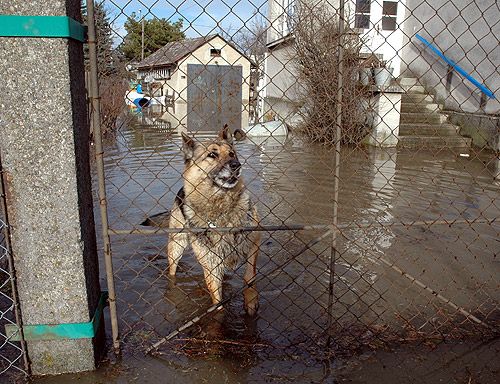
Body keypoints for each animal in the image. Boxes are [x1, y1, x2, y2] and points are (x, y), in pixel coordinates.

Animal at [169, 126, 262, 316]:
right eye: (212, 155)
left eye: (232, 154)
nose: (236, 165)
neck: (221, 206)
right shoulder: (211, 265)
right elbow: (218, 302)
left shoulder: (254, 241)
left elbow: (249, 275)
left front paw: (250, 301)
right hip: (176, 247)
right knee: (172, 270)